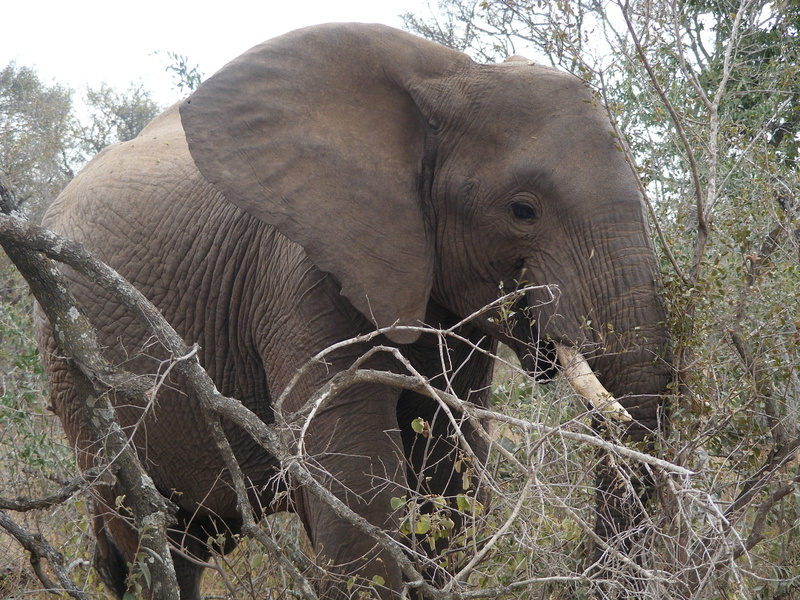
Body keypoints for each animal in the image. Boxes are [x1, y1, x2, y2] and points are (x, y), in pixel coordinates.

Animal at [35, 23, 672, 599]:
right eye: (523, 210)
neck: (451, 78)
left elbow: (449, 468)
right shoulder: (298, 272)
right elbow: (353, 476)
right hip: (74, 363)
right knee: (151, 539)